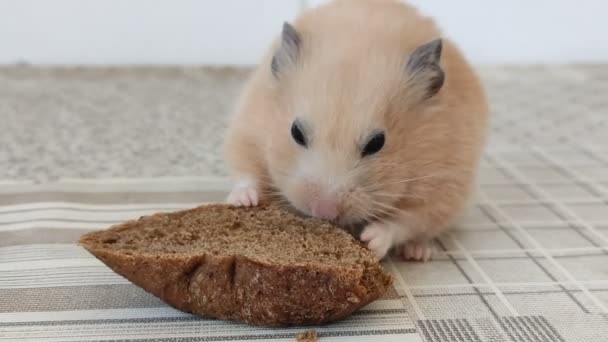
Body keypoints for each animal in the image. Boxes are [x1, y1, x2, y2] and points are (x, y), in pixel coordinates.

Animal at [223, 0, 490, 260]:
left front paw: (371, 241)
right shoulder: (247, 130)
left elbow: (405, 221)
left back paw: (418, 252)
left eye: (376, 143)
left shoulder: (445, 186)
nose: (324, 211)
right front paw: (243, 201)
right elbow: (246, 172)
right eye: (296, 132)